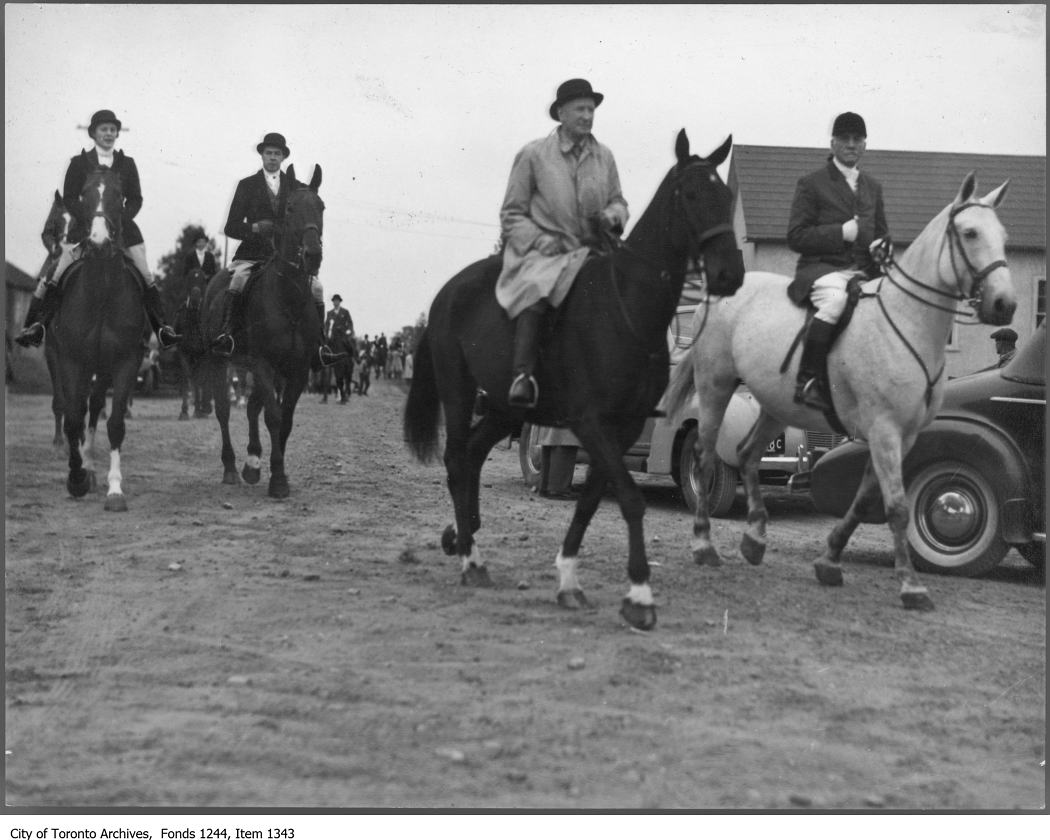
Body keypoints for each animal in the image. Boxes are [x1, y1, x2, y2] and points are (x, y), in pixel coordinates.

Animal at [199, 162, 323, 499]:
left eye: (321, 207)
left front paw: (272, 471)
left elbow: (286, 419)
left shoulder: (297, 369)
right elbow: (274, 417)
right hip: (219, 361)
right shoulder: (264, 364)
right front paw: (277, 480)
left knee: (252, 407)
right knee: (225, 411)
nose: (313, 256)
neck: (288, 297)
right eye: (290, 208)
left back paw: (252, 463)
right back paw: (231, 467)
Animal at [403, 132, 747, 630]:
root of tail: (448, 291)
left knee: (472, 455)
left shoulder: (622, 429)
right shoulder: (590, 421)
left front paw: (568, 579)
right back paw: (470, 558)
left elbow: (591, 500)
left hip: (503, 409)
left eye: (725, 197)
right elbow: (630, 499)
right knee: (455, 460)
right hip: (458, 391)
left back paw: (463, 536)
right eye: (691, 194)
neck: (626, 308)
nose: (729, 275)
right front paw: (639, 596)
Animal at [663, 174, 1016, 613]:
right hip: (716, 387)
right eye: (969, 233)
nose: (1005, 305)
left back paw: (755, 539)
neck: (908, 322)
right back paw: (704, 545)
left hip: (776, 406)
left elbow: (865, 499)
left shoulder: (902, 436)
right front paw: (911, 586)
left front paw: (830, 560)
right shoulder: (884, 430)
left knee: (746, 454)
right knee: (706, 457)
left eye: (1003, 236)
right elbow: (897, 508)